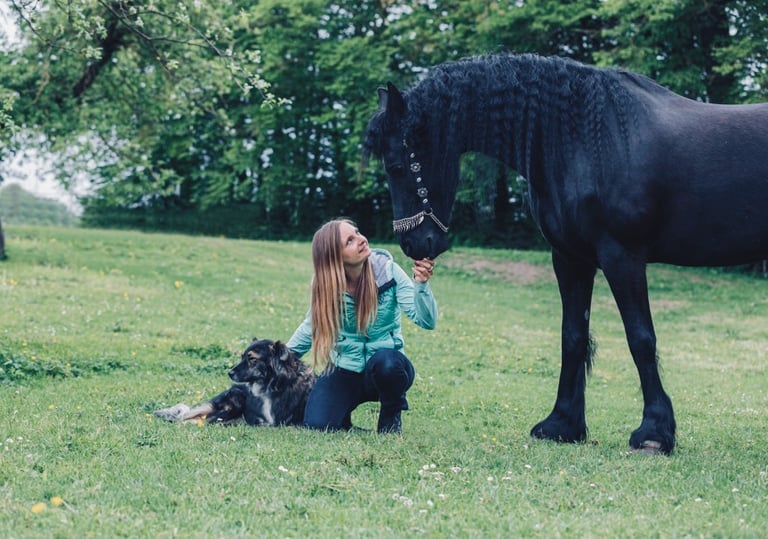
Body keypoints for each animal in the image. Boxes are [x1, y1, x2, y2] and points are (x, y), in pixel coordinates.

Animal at [363, 53, 768, 455]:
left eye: (397, 166)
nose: (415, 244)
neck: (585, 142)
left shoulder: (622, 257)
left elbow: (641, 338)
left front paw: (654, 431)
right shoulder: (571, 258)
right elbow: (573, 337)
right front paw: (563, 424)